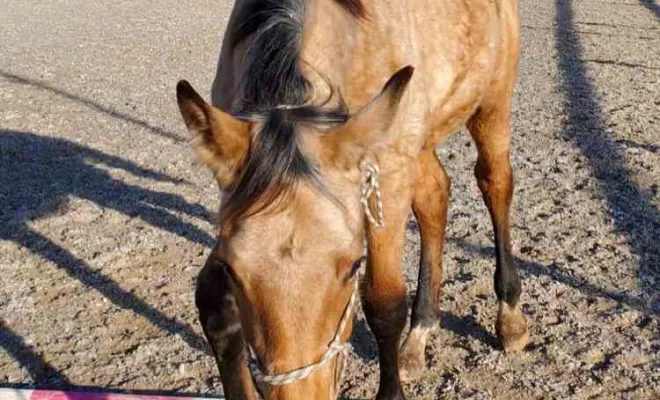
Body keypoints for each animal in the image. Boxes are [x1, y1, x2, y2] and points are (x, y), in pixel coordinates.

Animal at [175, 0, 528, 398]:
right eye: (234, 271)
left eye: (352, 267)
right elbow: (211, 303)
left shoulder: (388, 178)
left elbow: (384, 302)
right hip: (419, 140)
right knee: (434, 197)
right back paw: (420, 333)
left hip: (491, 104)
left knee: (495, 183)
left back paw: (510, 317)